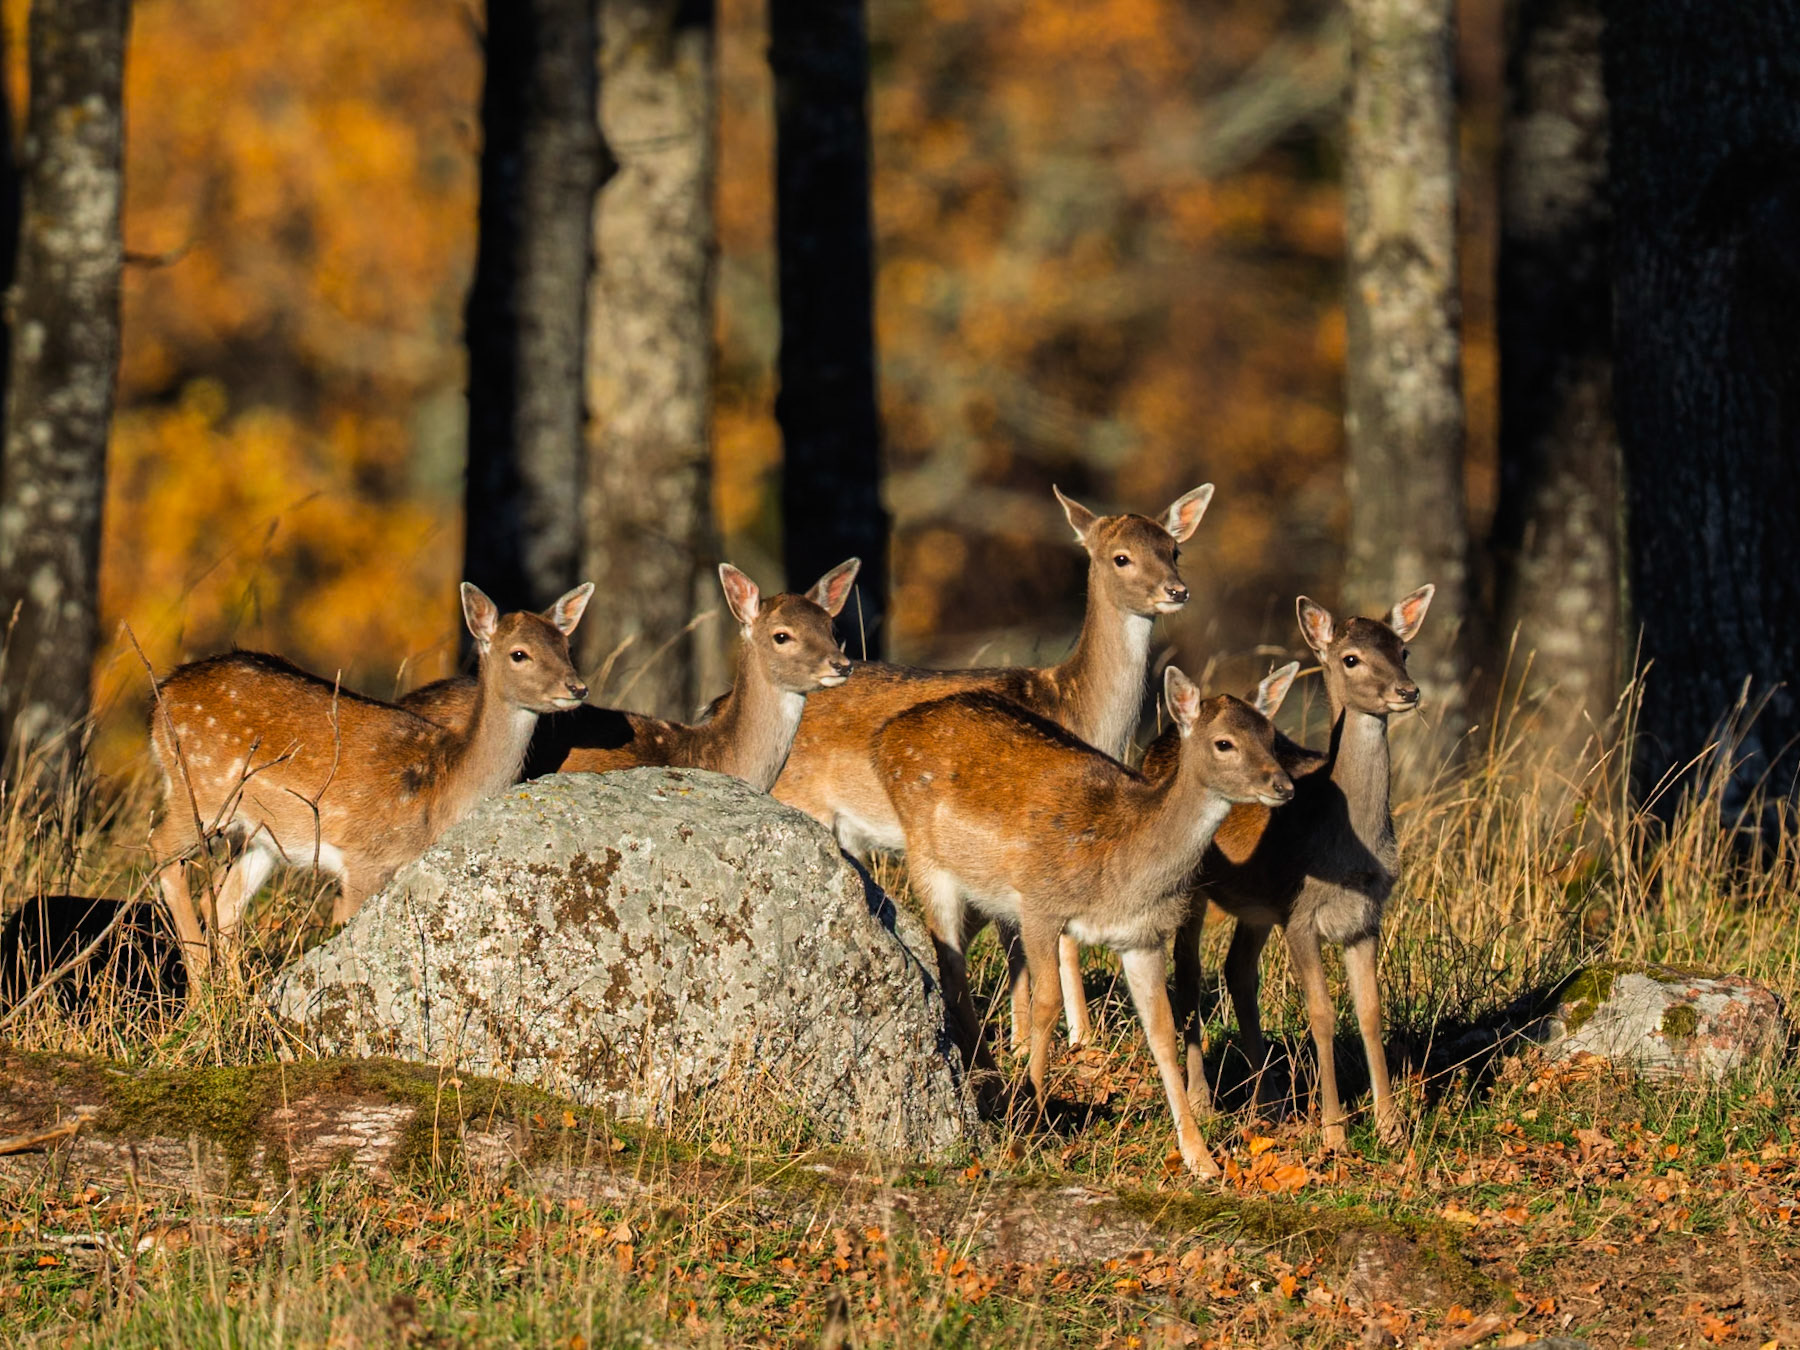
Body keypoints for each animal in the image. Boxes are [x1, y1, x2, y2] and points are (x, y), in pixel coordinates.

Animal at [149, 582, 593, 970]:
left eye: (566, 646)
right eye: (519, 654)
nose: (578, 687)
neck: (441, 792)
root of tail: (161, 697)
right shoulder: (364, 859)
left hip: (265, 835)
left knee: (226, 902)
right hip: (200, 788)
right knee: (162, 850)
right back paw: (199, 980)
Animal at [775, 484, 1213, 1047]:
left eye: (1174, 549)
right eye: (1121, 557)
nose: (1176, 590)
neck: (1074, 710)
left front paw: (1037, 1035)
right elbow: (1040, 941)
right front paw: (1070, 1040)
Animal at [873, 662, 1298, 1177]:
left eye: (1272, 737)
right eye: (1224, 743)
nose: (1283, 786)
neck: (1120, 870)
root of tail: (886, 735)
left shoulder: (1142, 937)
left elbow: (1161, 1030)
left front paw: (1201, 1159)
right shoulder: (1040, 902)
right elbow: (1047, 1004)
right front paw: (1028, 1127)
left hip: (980, 893)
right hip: (928, 862)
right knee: (950, 965)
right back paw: (990, 1081)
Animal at [1153, 586, 1434, 1151]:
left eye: (1404, 650)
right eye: (1351, 658)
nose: (1407, 690)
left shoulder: (1364, 918)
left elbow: (1370, 1011)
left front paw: (1391, 1127)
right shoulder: (1301, 914)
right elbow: (1322, 1013)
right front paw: (1334, 1132)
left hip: (1258, 909)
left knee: (1237, 972)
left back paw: (1270, 1102)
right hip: (1192, 888)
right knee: (1189, 975)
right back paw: (1203, 1101)